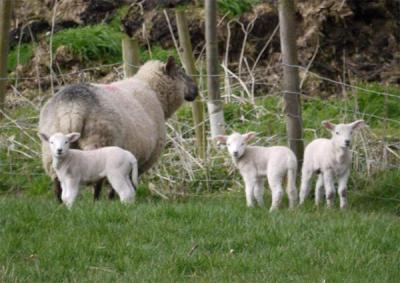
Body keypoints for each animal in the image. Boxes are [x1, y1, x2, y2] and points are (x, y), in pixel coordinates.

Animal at [39, 56, 198, 202]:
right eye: (181, 73)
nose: (196, 90)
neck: (154, 91)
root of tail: (72, 107)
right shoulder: (141, 159)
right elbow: (128, 181)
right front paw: (115, 198)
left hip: (52, 147)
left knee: (57, 179)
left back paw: (60, 203)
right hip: (99, 140)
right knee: (96, 179)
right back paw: (96, 202)